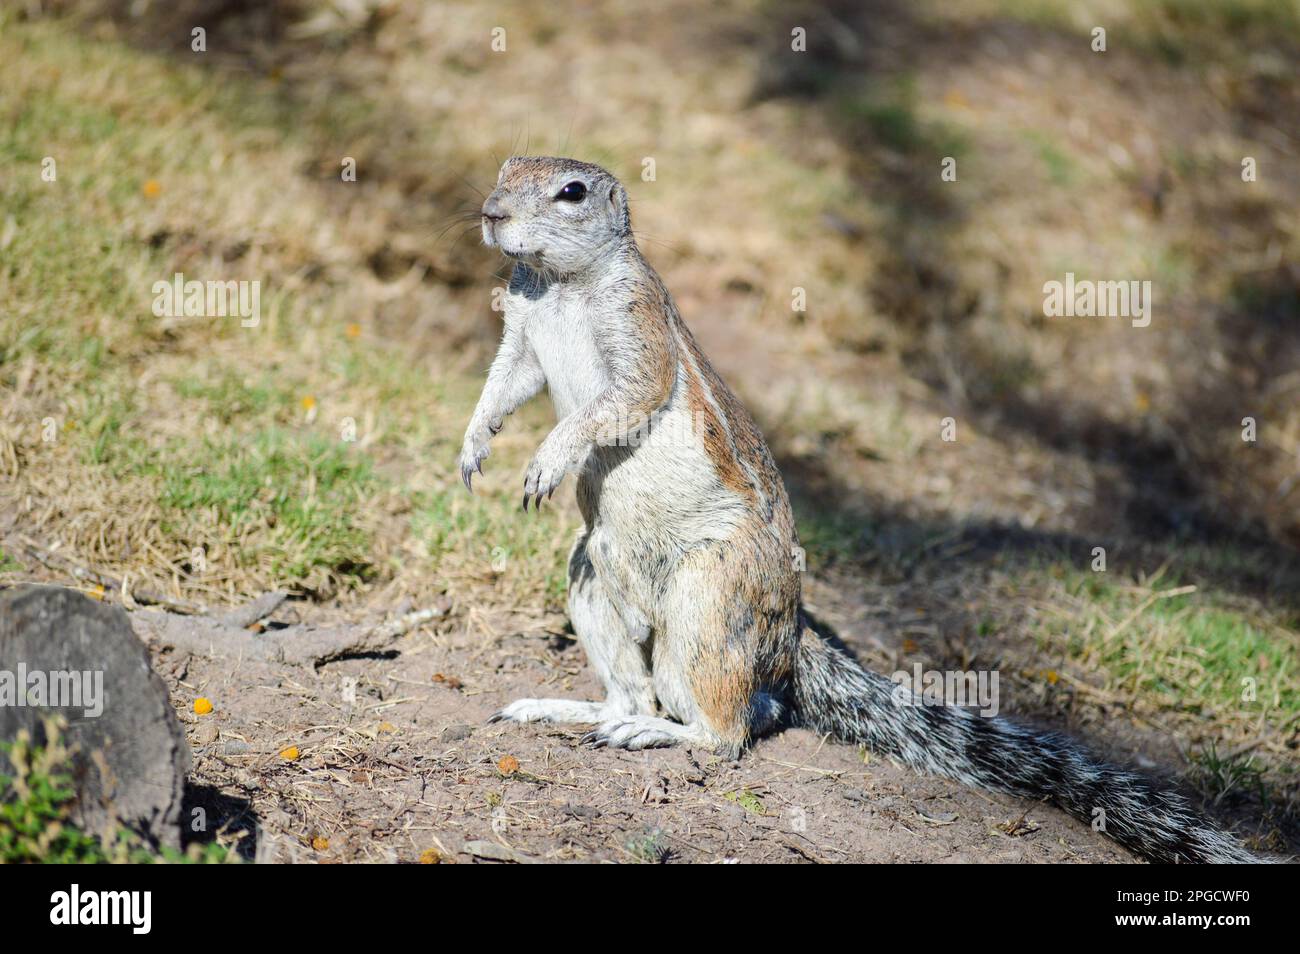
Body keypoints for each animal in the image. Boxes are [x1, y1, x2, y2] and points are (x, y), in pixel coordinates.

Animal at [460, 157, 1258, 868]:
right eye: (504, 168)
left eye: (571, 192)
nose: (492, 212)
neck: (561, 284)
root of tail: (788, 632)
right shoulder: (521, 335)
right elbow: (507, 384)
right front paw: (475, 444)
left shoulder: (638, 331)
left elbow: (622, 400)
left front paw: (549, 457)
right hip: (592, 575)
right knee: (641, 691)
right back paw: (579, 711)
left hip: (710, 599)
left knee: (726, 728)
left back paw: (659, 736)